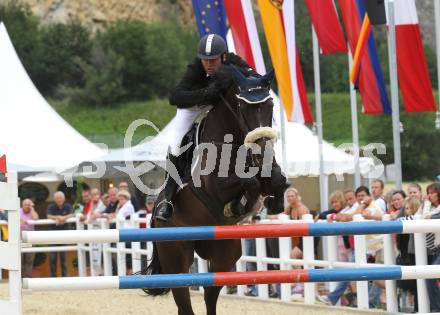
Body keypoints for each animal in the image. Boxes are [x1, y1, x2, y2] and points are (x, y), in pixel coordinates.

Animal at [145, 65, 288, 314]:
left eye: (270, 104)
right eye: (243, 106)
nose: (262, 151)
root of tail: (153, 216)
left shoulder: (267, 174)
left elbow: (277, 179)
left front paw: (275, 203)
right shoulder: (215, 187)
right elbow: (249, 182)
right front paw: (238, 206)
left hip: (225, 253)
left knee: (210, 293)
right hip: (176, 254)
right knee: (184, 301)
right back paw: (166, 208)